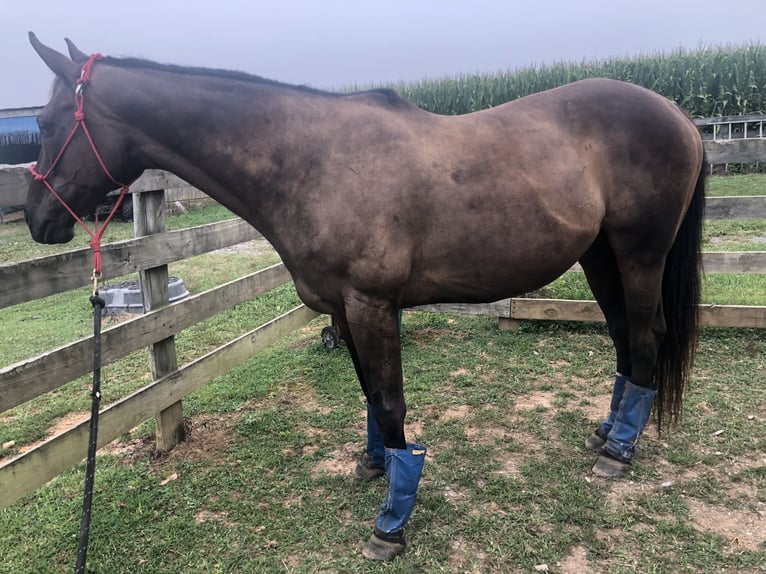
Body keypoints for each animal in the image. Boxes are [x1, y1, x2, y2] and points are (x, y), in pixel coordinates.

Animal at [25, 35, 708, 564]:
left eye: (47, 123)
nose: (36, 220)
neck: (313, 162)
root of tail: (680, 116)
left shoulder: (372, 304)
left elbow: (390, 400)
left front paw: (392, 523)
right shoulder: (342, 308)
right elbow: (367, 395)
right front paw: (375, 466)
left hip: (639, 253)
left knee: (646, 335)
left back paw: (619, 453)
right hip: (601, 256)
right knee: (623, 338)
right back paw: (607, 433)